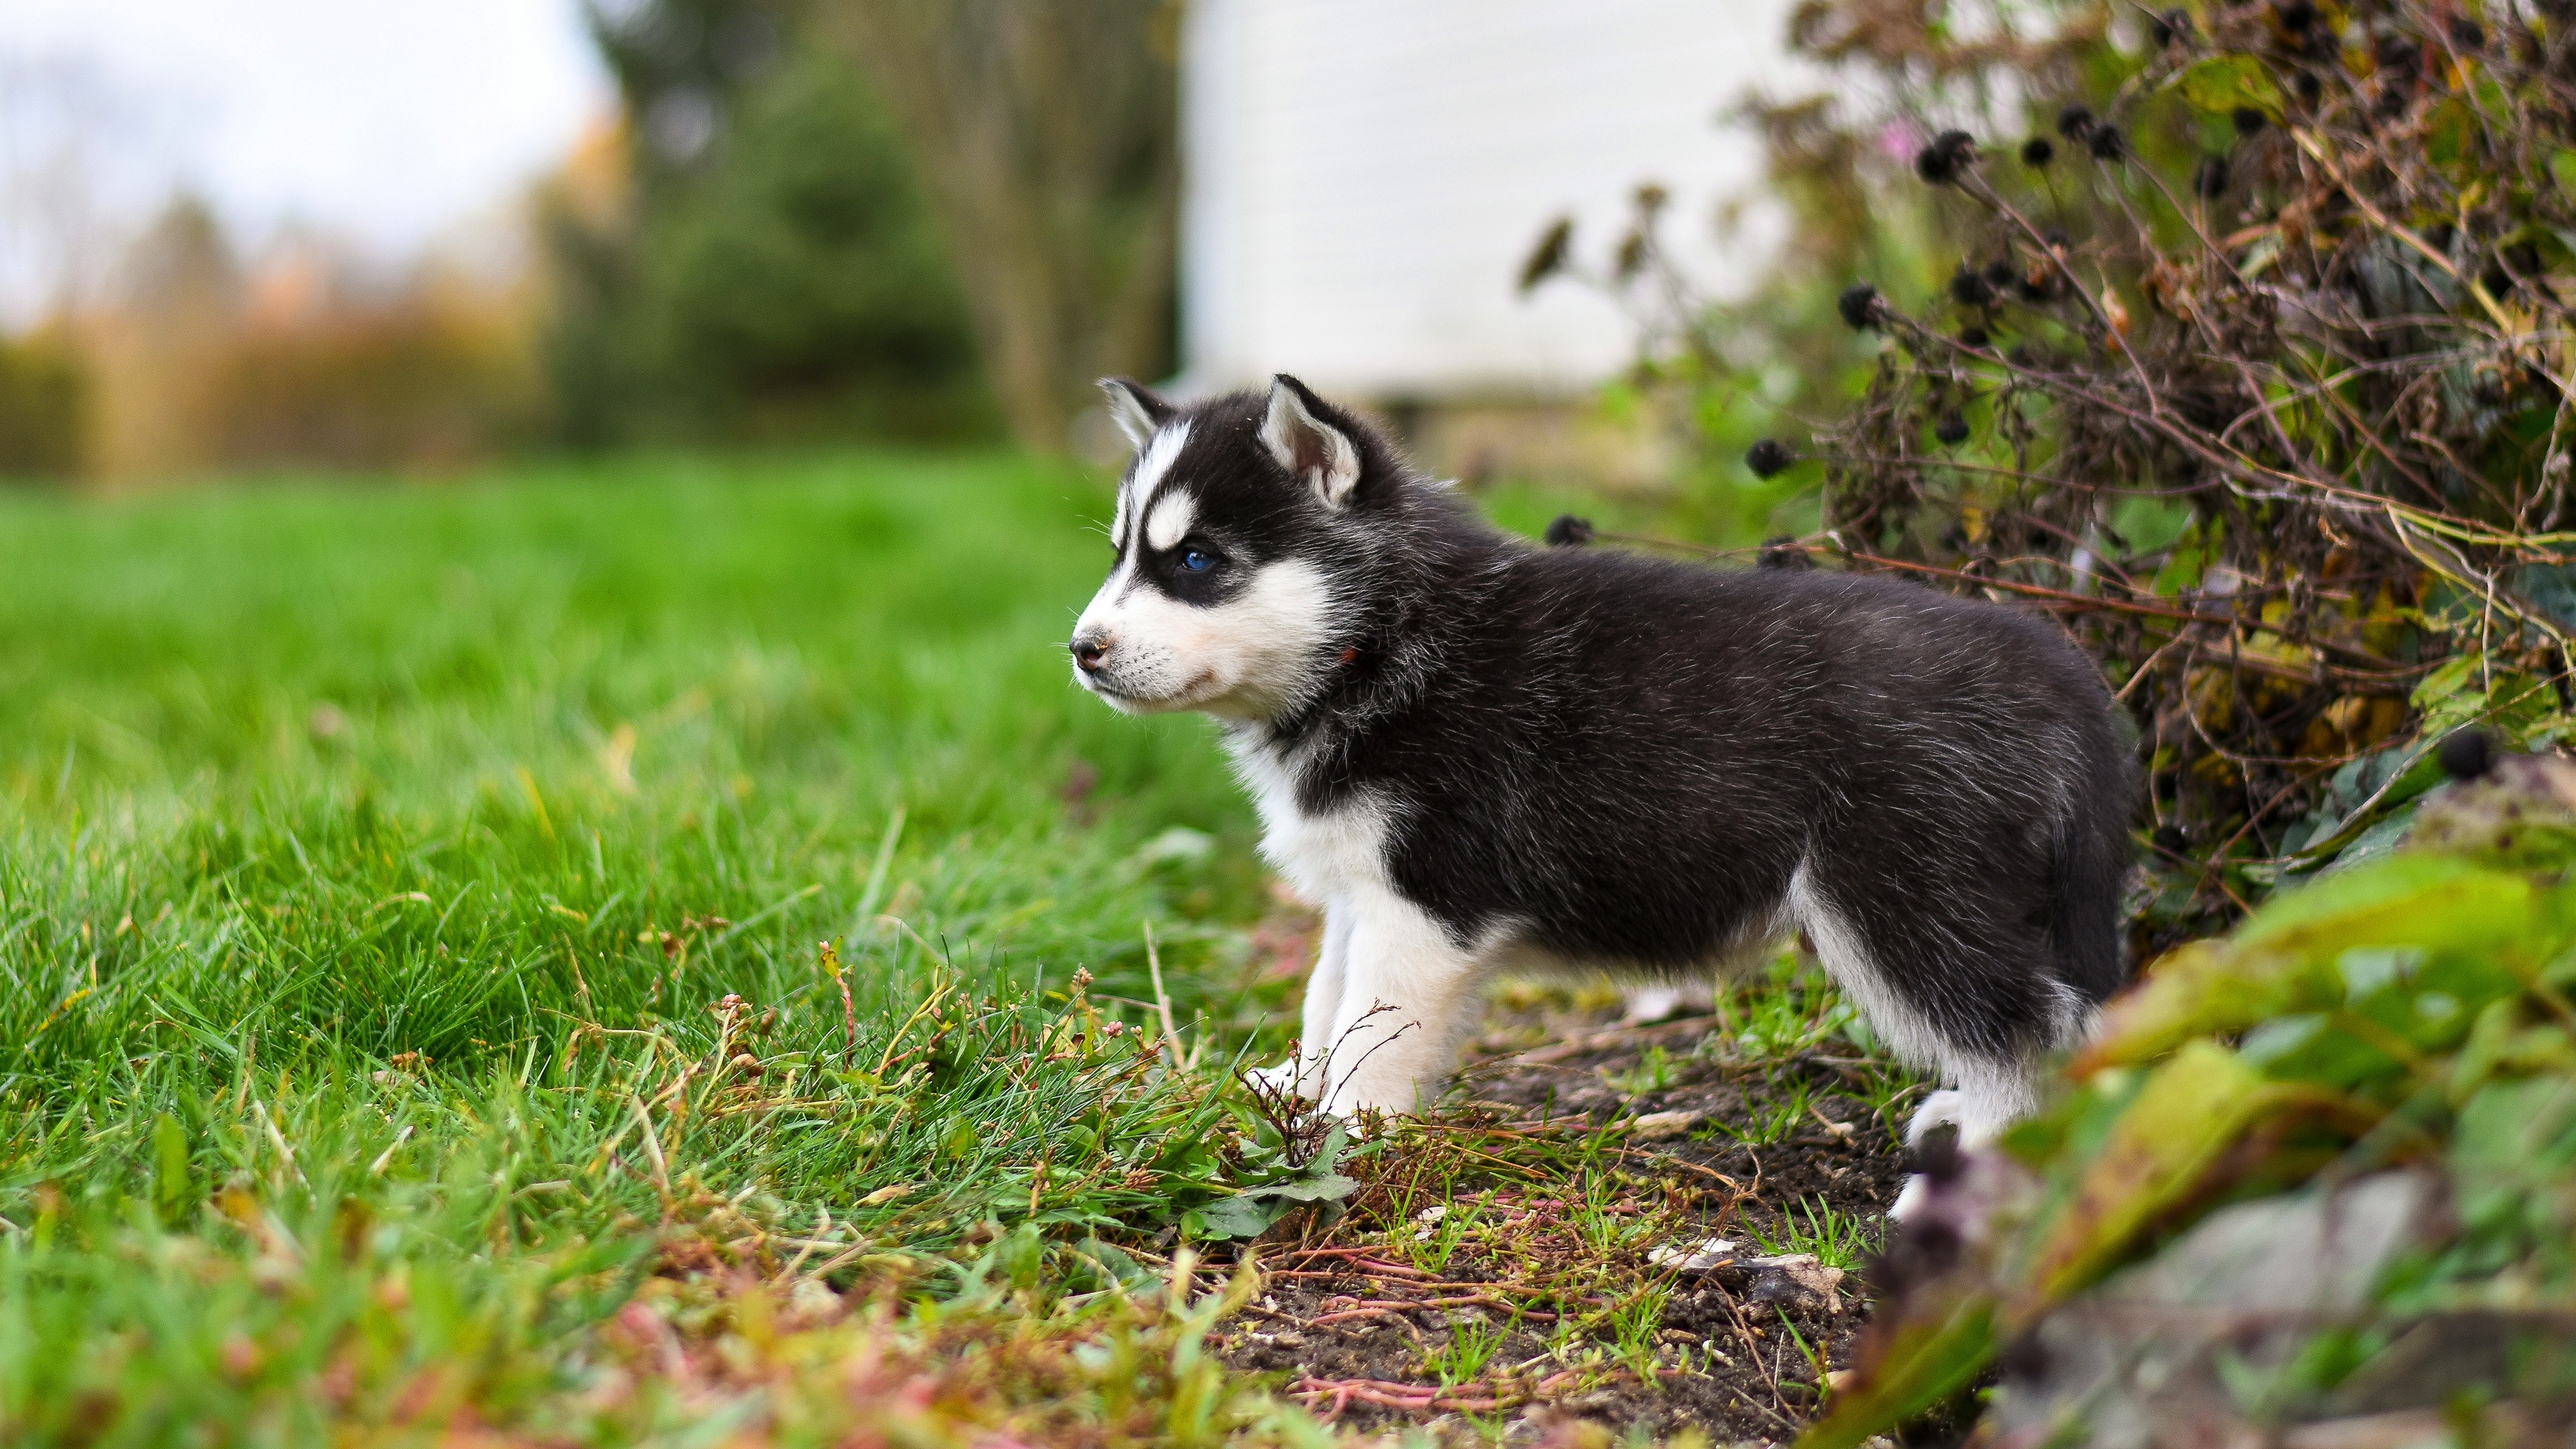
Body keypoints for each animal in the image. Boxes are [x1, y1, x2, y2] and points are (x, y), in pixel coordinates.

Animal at [1066, 368, 2133, 1160]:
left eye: (1197, 561)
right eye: (1121, 554)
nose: (1081, 649)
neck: (1384, 638)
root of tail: (2061, 671)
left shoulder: (1426, 902)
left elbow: (1375, 1023)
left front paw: (1339, 1129)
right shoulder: (1359, 889)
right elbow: (1328, 998)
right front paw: (1296, 1085)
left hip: (1895, 903)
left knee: (2018, 1034)